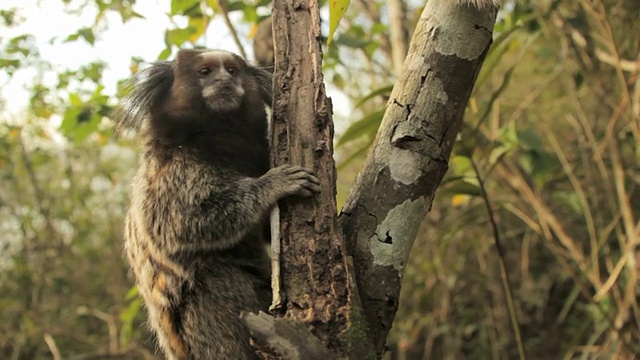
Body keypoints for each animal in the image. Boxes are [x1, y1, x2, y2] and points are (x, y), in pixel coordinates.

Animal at [115, 48, 320, 360]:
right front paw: (273, 185)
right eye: (205, 72)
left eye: (232, 70)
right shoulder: (177, 171)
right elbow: (180, 226)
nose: (224, 80)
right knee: (219, 281)